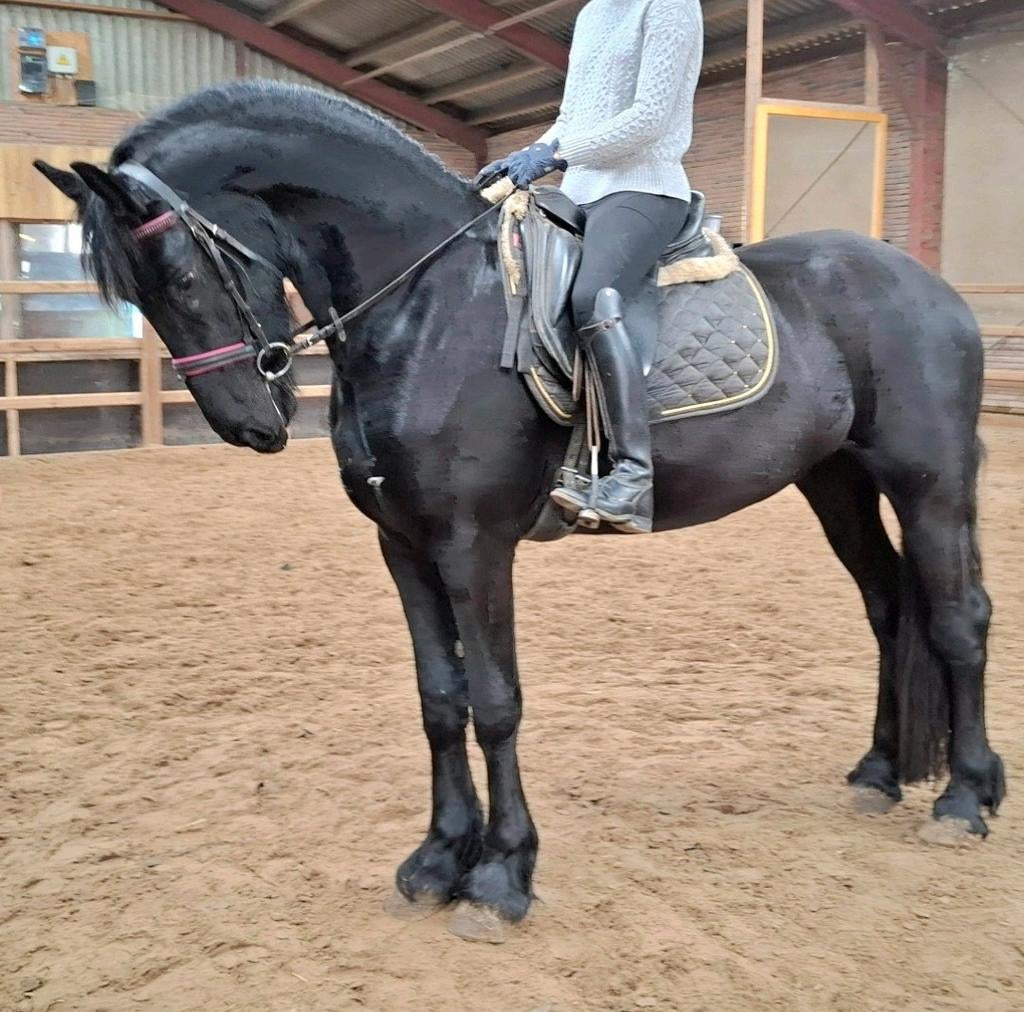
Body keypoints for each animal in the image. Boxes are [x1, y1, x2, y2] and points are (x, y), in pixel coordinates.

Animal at [36, 80, 1005, 939]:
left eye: (181, 277)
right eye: (141, 297)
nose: (249, 424)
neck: (424, 310)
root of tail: (928, 284)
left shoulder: (474, 544)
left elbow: (496, 701)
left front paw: (502, 875)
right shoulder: (403, 545)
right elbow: (440, 698)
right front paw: (437, 860)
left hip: (929, 479)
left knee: (957, 617)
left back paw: (965, 797)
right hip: (835, 480)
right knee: (889, 607)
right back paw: (881, 772)